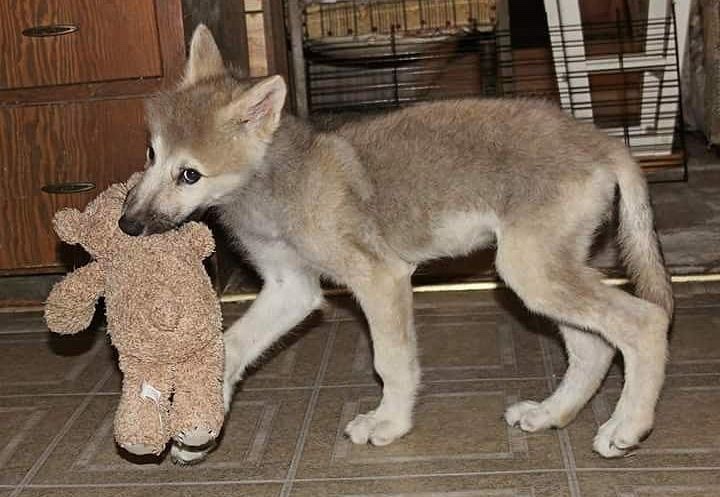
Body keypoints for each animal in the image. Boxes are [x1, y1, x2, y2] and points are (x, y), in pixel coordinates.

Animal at [120, 25, 673, 464]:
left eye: (190, 174)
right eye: (150, 153)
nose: (127, 225)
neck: (278, 183)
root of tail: (601, 143)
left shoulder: (379, 279)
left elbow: (391, 362)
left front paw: (388, 424)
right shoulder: (290, 289)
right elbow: (231, 347)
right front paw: (200, 427)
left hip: (532, 274)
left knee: (643, 323)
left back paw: (626, 427)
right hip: (544, 277)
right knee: (594, 348)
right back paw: (551, 414)